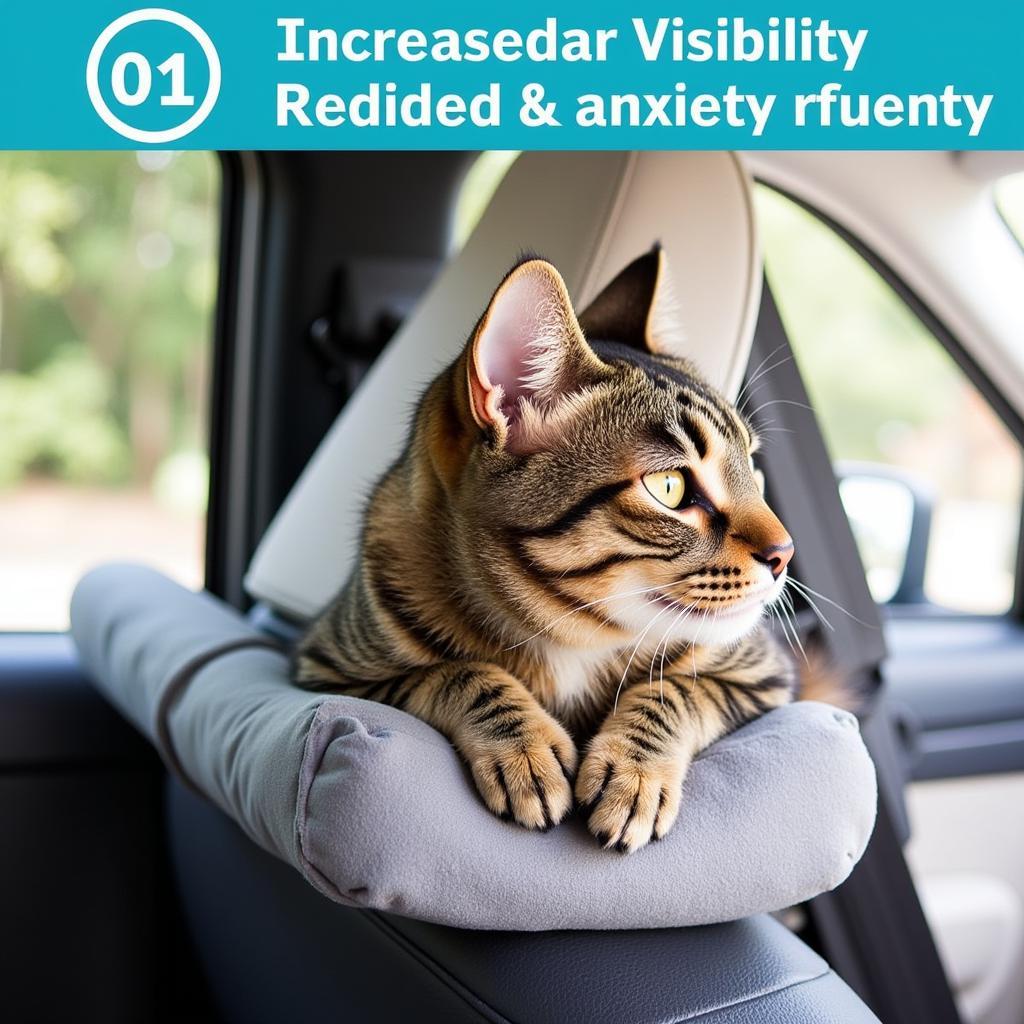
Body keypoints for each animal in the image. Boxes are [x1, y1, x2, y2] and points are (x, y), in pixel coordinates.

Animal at [294, 249, 798, 856]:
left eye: (753, 466)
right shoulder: (326, 670)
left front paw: (634, 772)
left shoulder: (762, 677)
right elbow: (461, 672)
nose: (785, 553)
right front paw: (526, 748)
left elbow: (673, 690)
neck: (573, 635)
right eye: (670, 487)